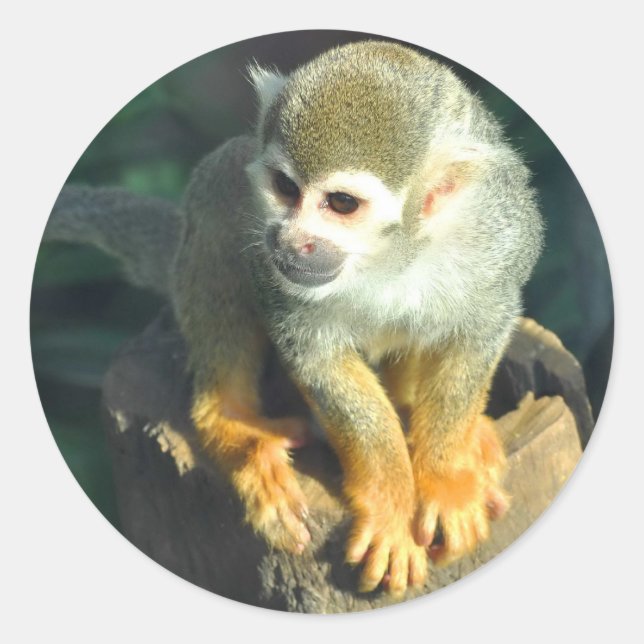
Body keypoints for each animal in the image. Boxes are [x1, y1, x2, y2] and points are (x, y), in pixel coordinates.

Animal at [46, 40, 544, 596]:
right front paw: (391, 500)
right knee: (221, 194)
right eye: (286, 187)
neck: (390, 255)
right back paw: (231, 423)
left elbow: (479, 332)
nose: (290, 240)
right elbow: (316, 355)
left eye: (341, 203)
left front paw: (446, 475)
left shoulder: (499, 238)